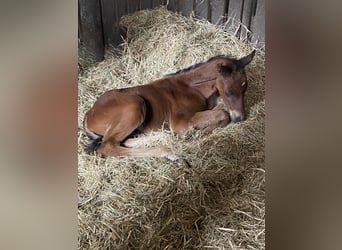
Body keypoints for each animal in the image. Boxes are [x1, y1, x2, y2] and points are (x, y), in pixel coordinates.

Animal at [83, 50, 254, 159]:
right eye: (229, 92)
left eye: (245, 88)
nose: (240, 118)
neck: (191, 88)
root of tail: (88, 114)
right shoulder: (180, 122)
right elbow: (223, 114)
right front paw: (196, 134)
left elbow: (221, 111)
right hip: (135, 105)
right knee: (108, 146)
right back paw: (168, 153)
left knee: (124, 141)